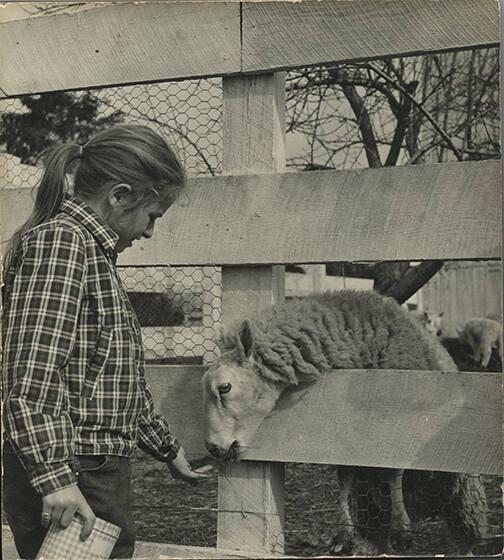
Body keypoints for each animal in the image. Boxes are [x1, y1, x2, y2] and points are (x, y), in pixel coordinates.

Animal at [202, 290, 488, 556]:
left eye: (225, 387)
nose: (213, 447)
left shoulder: (397, 423)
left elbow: (393, 471)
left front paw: (401, 528)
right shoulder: (345, 434)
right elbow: (344, 477)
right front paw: (344, 535)